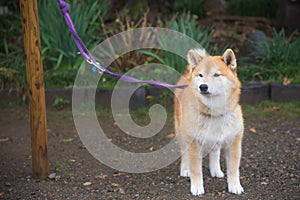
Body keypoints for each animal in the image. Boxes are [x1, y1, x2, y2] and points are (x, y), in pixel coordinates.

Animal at [173, 48, 244, 195]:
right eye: (200, 75)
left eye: (216, 75)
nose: (203, 87)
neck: (215, 113)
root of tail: (187, 74)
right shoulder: (194, 143)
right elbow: (196, 170)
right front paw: (197, 187)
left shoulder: (234, 142)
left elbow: (233, 169)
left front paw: (235, 186)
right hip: (182, 134)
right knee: (184, 153)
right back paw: (185, 169)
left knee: (215, 152)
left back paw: (216, 170)